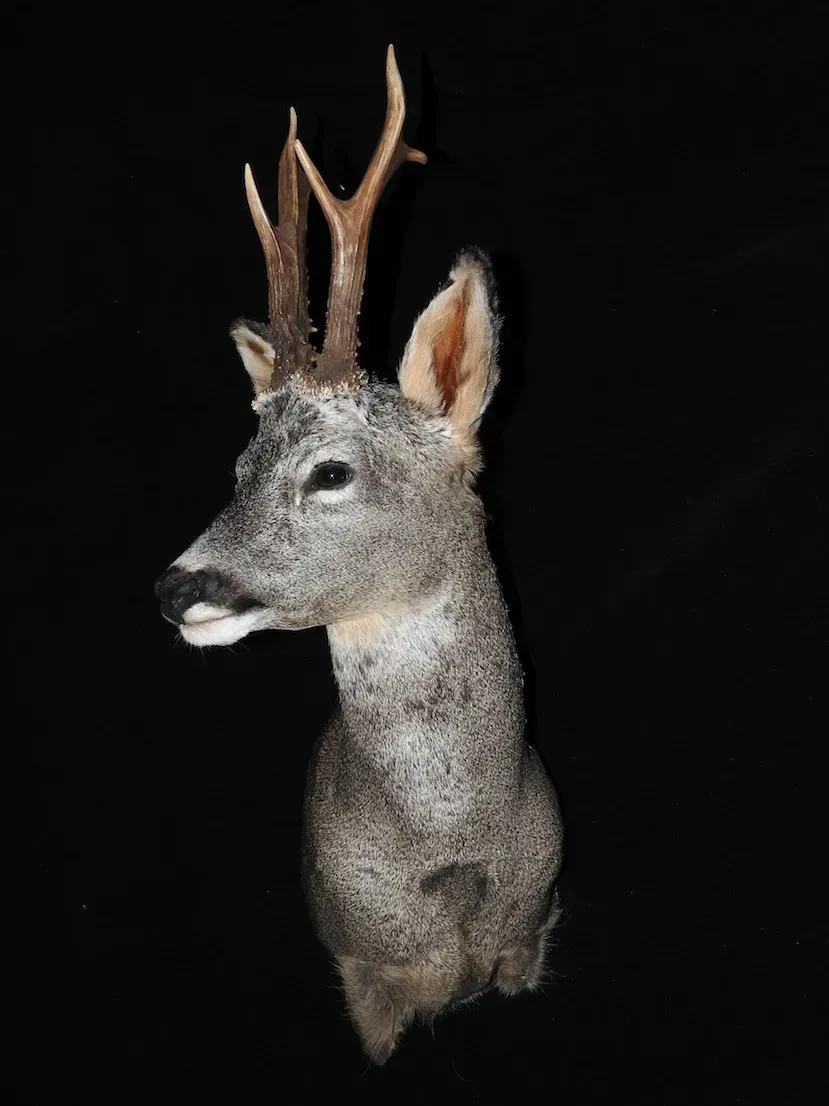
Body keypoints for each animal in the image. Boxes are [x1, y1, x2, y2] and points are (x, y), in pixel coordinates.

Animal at [154, 45, 564, 1064]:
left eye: (330, 472)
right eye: (240, 467)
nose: (174, 588)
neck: (451, 856)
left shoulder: (530, 940)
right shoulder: (359, 971)